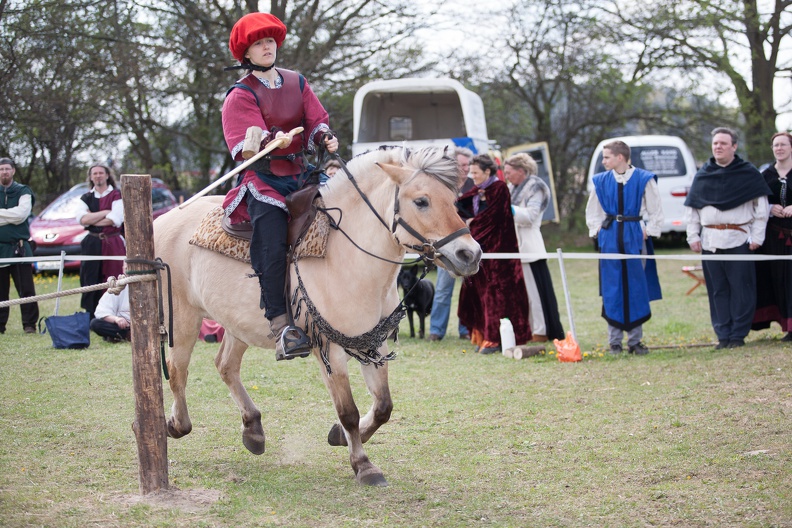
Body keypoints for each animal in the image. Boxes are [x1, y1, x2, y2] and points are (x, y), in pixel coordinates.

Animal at [152, 145, 480, 486]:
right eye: (421, 201)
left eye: (454, 200)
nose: (470, 254)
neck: (346, 256)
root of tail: (161, 220)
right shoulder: (330, 350)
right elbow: (348, 411)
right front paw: (363, 464)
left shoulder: (373, 343)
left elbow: (383, 406)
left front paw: (341, 436)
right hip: (184, 318)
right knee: (177, 369)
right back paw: (176, 424)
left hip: (236, 323)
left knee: (225, 365)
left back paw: (253, 428)